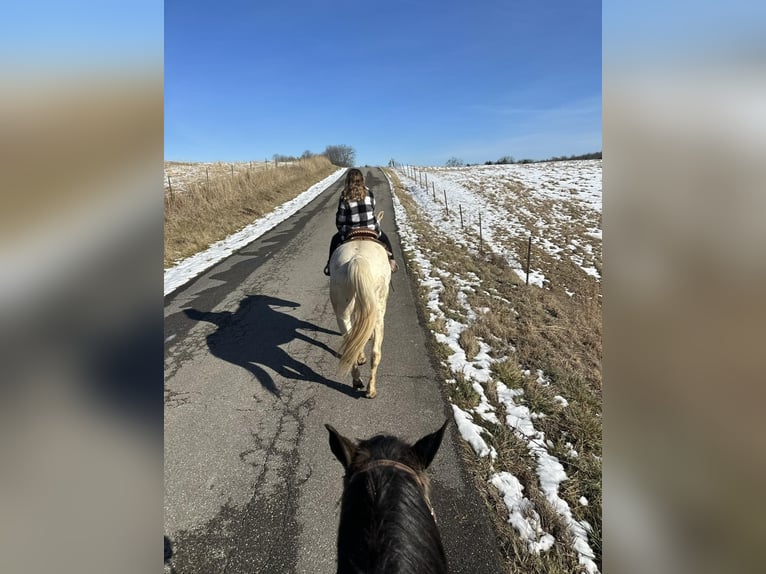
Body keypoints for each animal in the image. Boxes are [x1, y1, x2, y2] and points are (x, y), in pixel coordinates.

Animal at [328, 227, 390, 398]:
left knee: (351, 345)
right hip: (379, 312)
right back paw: (370, 390)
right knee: (375, 353)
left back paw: (357, 381)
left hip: (342, 313)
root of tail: (357, 259)